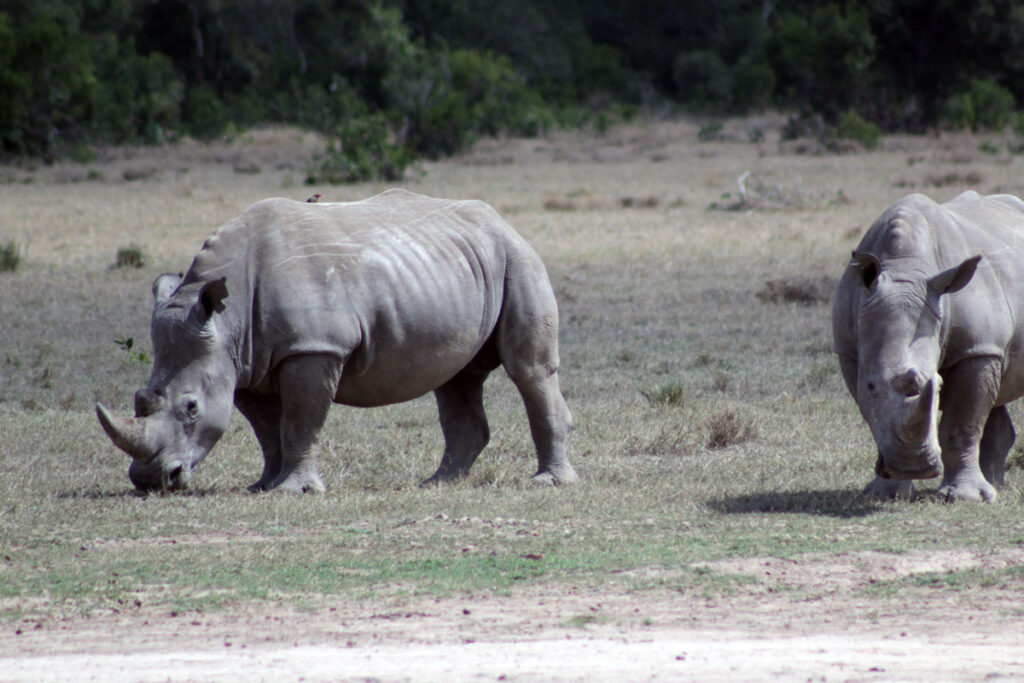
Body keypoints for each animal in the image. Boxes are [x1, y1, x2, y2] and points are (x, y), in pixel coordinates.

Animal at [96, 189, 578, 493]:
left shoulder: (313, 347)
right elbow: (267, 429)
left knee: (528, 370)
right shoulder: (245, 361)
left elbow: (300, 420)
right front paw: (263, 485)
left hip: (517, 258)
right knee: (455, 378)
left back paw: (549, 483)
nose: (151, 481)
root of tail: (501, 221)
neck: (228, 321)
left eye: (191, 407)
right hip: (460, 265)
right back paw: (438, 483)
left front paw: (294, 490)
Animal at [832, 191, 1024, 502]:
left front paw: (963, 498)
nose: (914, 467)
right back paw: (995, 485)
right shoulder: (848, 350)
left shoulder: (974, 348)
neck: (904, 268)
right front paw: (885, 494)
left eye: (938, 383)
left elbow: (962, 425)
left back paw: (991, 489)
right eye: (871, 385)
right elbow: (872, 415)